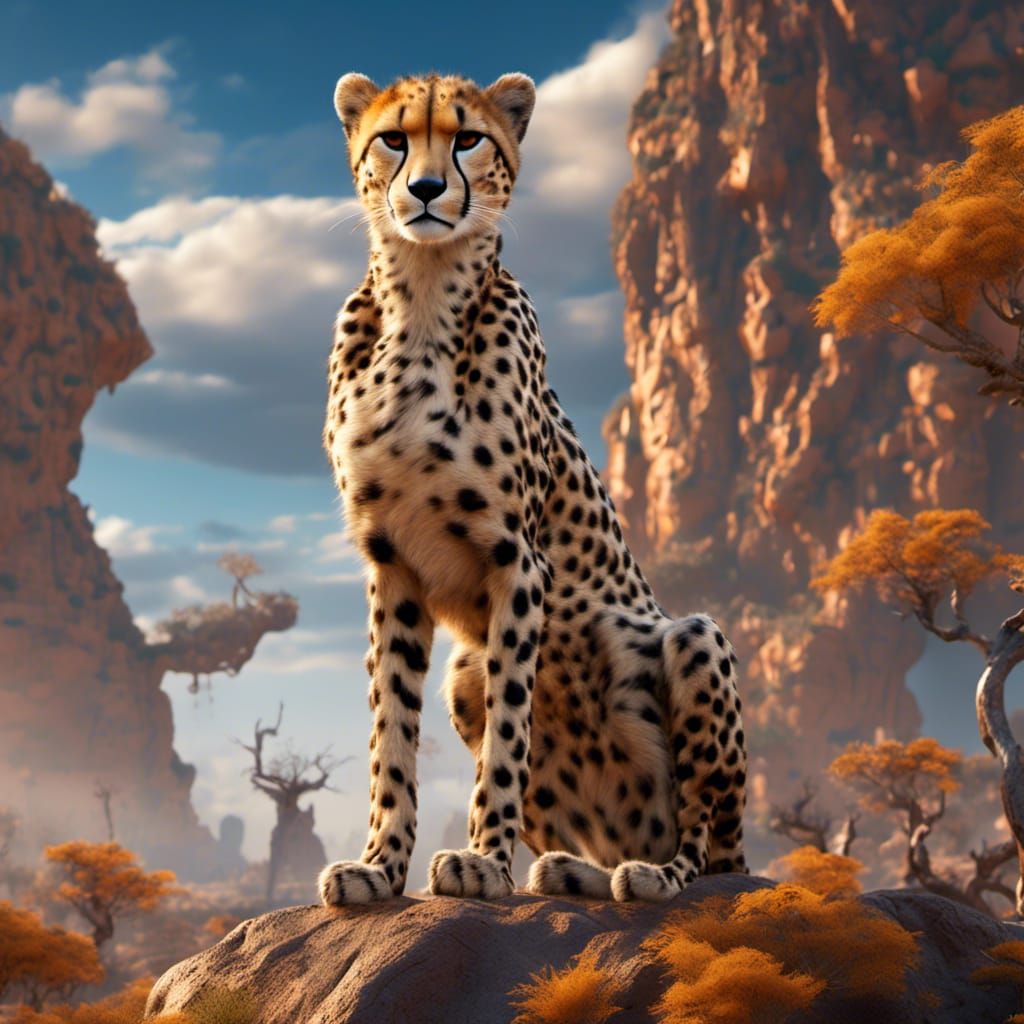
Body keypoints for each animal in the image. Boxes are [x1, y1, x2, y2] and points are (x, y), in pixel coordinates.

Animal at [317, 69, 747, 905]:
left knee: (705, 838)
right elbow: (392, 733)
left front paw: (483, 861)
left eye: (467, 138)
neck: (422, 299)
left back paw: (651, 877)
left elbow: (509, 732)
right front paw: (380, 866)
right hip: (463, 676)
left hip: (694, 640)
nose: (425, 189)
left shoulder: (518, 561)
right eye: (393, 138)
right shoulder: (392, 564)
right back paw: (576, 870)